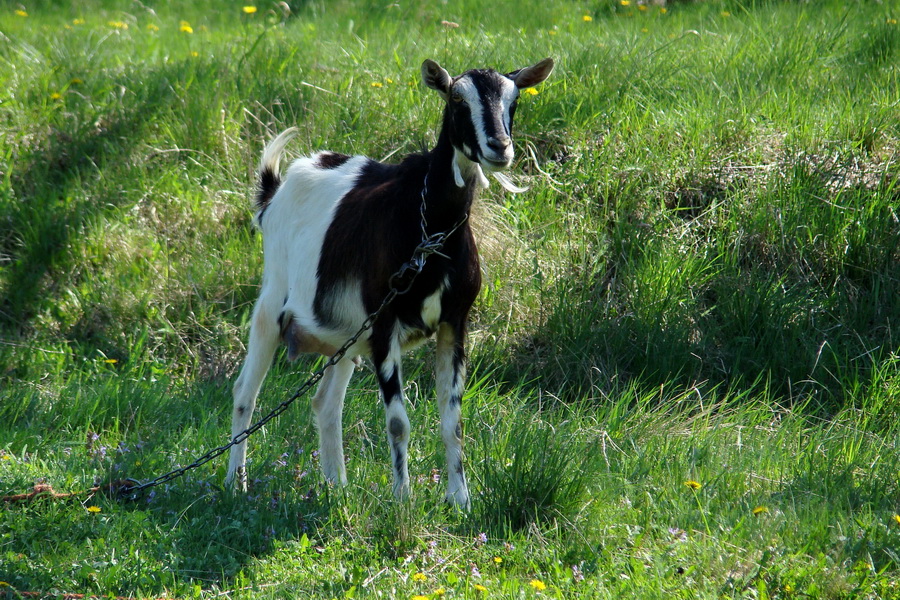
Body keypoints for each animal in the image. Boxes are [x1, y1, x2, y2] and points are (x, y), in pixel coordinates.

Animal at [227, 56, 548, 508]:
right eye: (455, 98)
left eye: (514, 98)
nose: (499, 147)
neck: (430, 231)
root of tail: (274, 194)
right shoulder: (383, 324)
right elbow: (398, 423)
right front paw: (403, 501)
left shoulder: (454, 322)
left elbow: (453, 421)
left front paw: (460, 500)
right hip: (271, 303)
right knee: (245, 395)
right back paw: (233, 485)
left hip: (345, 336)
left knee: (325, 403)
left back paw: (337, 489)